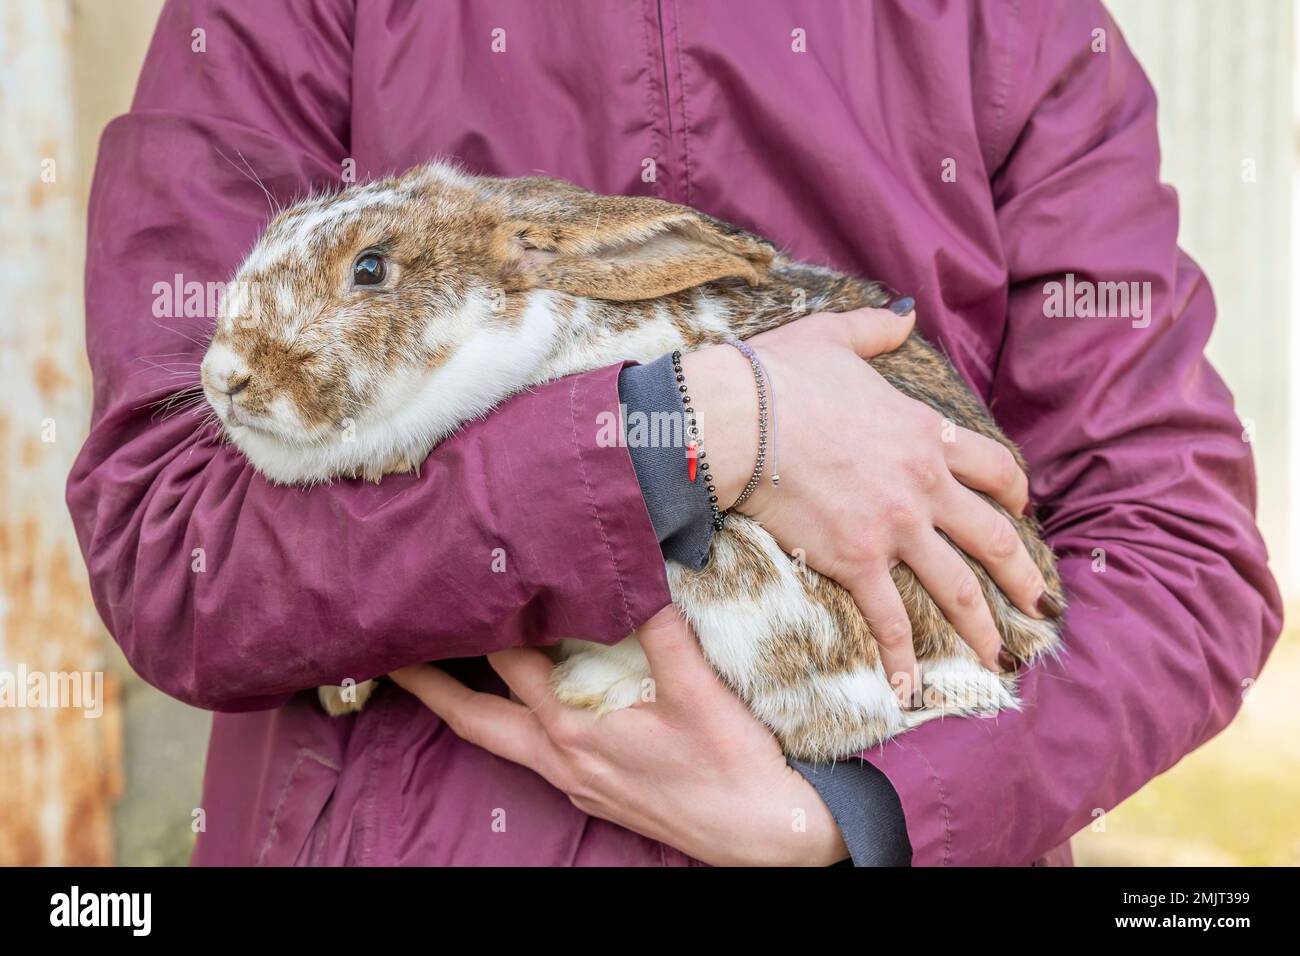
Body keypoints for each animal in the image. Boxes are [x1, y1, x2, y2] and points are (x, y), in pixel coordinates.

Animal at [197, 162, 1060, 764]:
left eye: (371, 268)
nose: (226, 377)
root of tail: (1027, 637)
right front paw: (341, 690)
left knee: (859, 722)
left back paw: (594, 687)